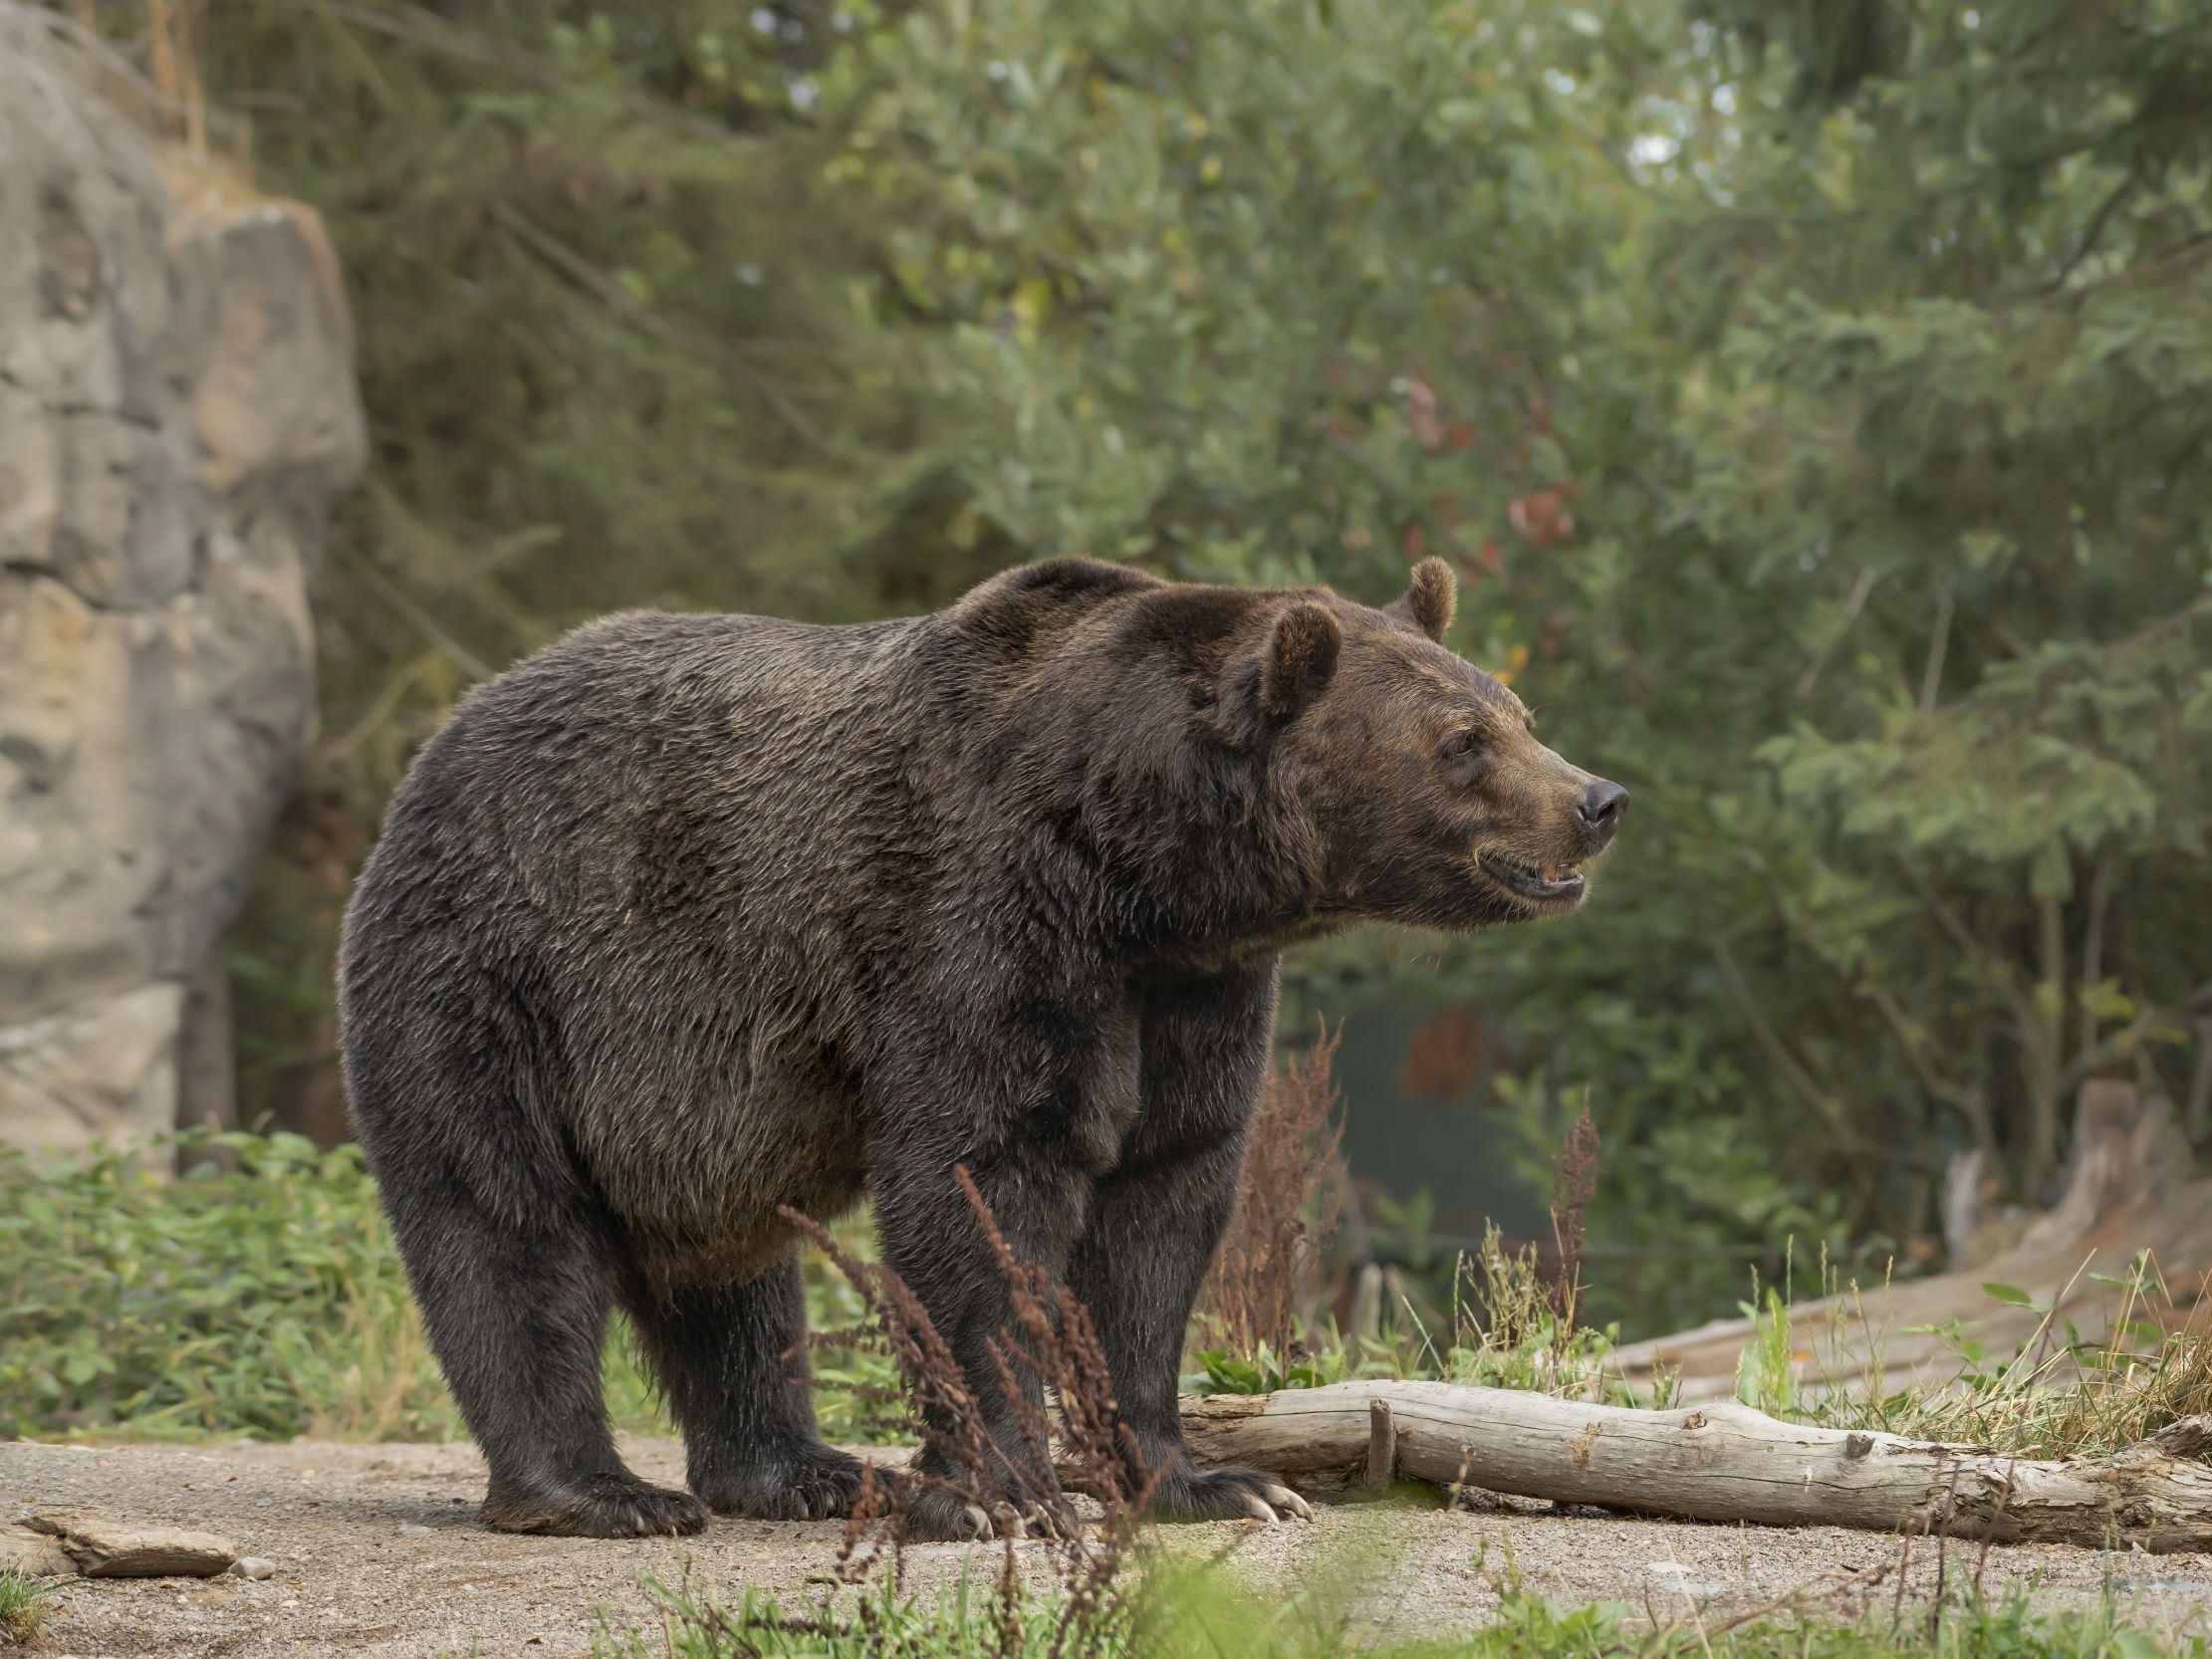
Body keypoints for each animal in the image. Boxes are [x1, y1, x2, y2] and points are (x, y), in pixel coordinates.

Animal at [341, 559, 1627, 1547]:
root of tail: (438, 745)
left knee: (736, 1276)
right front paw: (1000, 1493)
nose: (1596, 798)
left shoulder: (1190, 992)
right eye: (1461, 740)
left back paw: (803, 1469)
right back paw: (600, 1493)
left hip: (686, 1109)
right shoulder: (977, 918)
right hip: (501, 980)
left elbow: (1161, 1208)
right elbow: (981, 1188)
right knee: (507, 1228)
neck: (1141, 869)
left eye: (1517, 710)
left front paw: (1213, 1482)